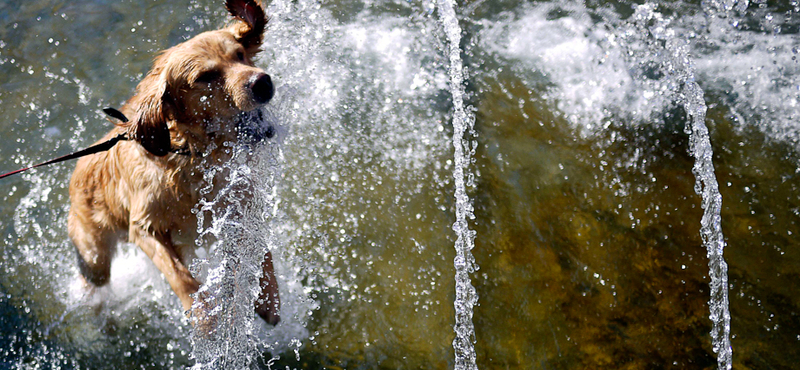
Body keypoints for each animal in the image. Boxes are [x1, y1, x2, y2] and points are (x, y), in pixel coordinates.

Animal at [69, 0, 282, 326]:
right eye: (206, 77)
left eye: (240, 54)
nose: (262, 82)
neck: (192, 156)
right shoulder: (144, 227)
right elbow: (180, 276)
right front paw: (204, 319)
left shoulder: (239, 203)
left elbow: (260, 251)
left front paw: (267, 296)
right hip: (94, 255)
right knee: (93, 277)